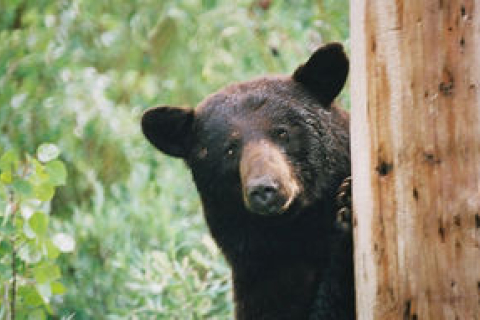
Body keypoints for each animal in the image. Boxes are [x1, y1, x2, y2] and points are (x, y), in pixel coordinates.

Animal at [141, 43, 354, 320]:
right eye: (229, 149)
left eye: (282, 132)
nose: (264, 189)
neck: (296, 232)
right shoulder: (261, 275)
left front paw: (348, 202)